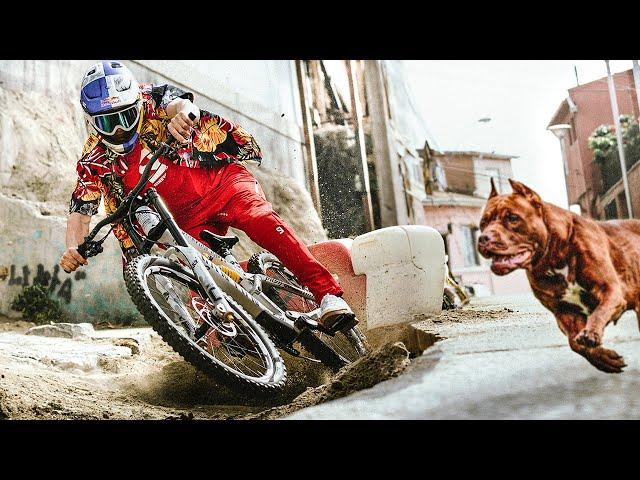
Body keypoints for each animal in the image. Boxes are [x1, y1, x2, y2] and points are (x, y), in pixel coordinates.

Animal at [478, 178, 636, 374]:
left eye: (513, 218)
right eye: (482, 224)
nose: (483, 238)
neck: (555, 257)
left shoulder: (610, 290)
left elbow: (600, 311)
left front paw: (591, 334)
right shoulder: (564, 313)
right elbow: (575, 344)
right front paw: (604, 358)